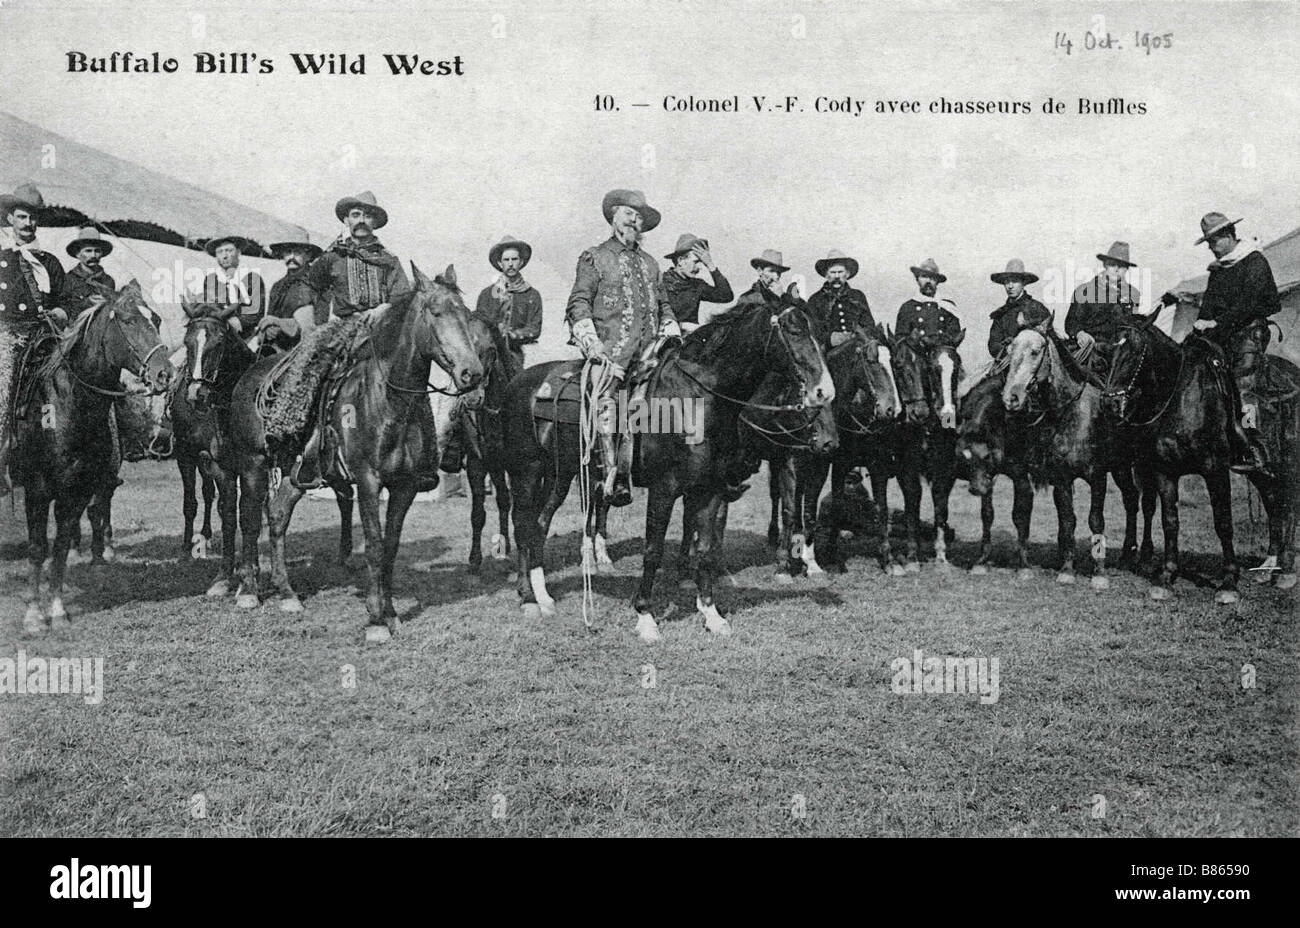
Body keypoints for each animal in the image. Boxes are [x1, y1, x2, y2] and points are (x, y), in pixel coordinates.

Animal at [11, 278, 172, 631]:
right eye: (128, 320)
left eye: (155, 319)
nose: (165, 375)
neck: (65, 403)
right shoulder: (37, 488)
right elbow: (37, 547)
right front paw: (33, 615)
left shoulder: (79, 489)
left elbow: (60, 547)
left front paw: (57, 610)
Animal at [227, 265, 483, 644]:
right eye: (435, 312)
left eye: (466, 315)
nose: (472, 373)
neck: (388, 401)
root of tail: (249, 377)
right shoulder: (368, 481)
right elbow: (374, 544)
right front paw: (376, 620)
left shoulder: (404, 486)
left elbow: (390, 546)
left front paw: (390, 614)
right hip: (253, 465)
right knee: (249, 519)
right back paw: (248, 591)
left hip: (294, 473)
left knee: (277, 516)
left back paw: (287, 594)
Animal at [1102, 318, 1294, 600]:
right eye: (1107, 352)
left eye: (1135, 352)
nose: (1110, 405)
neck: (1181, 398)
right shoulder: (1164, 471)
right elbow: (1169, 521)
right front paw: (1167, 576)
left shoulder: (1215, 470)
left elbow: (1223, 522)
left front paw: (1229, 582)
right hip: (1260, 470)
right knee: (1273, 503)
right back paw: (1270, 565)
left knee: (1289, 508)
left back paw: (1287, 572)